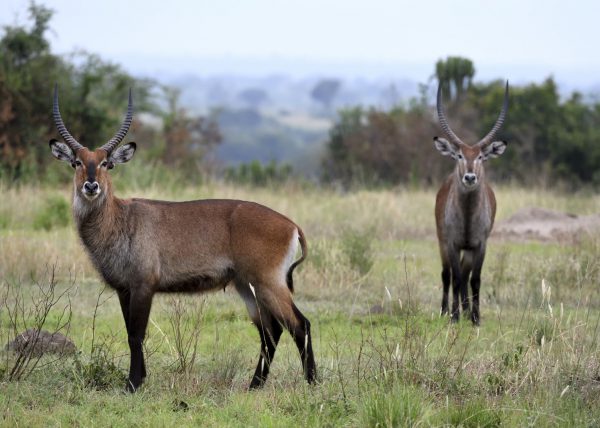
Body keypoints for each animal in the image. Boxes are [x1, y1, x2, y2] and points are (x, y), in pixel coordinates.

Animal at [49, 86, 316, 392]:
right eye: (76, 162)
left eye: (107, 164)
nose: (91, 186)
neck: (119, 219)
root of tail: (292, 225)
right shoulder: (123, 289)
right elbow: (130, 333)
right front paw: (138, 379)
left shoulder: (143, 285)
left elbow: (136, 335)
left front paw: (133, 384)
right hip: (246, 285)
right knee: (271, 331)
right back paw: (254, 385)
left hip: (268, 282)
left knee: (299, 325)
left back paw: (312, 382)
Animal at [434, 82, 508, 326]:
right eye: (458, 155)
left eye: (480, 157)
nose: (469, 177)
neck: (467, 215)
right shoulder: (452, 243)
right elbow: (455, 278)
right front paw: (454, 316)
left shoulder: (480, 244)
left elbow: (475, 279)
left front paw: (475, 318)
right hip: (442, 241)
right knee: (447, 275)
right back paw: (446, 310)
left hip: (468, 249)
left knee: (466, 276)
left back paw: (466, 310)